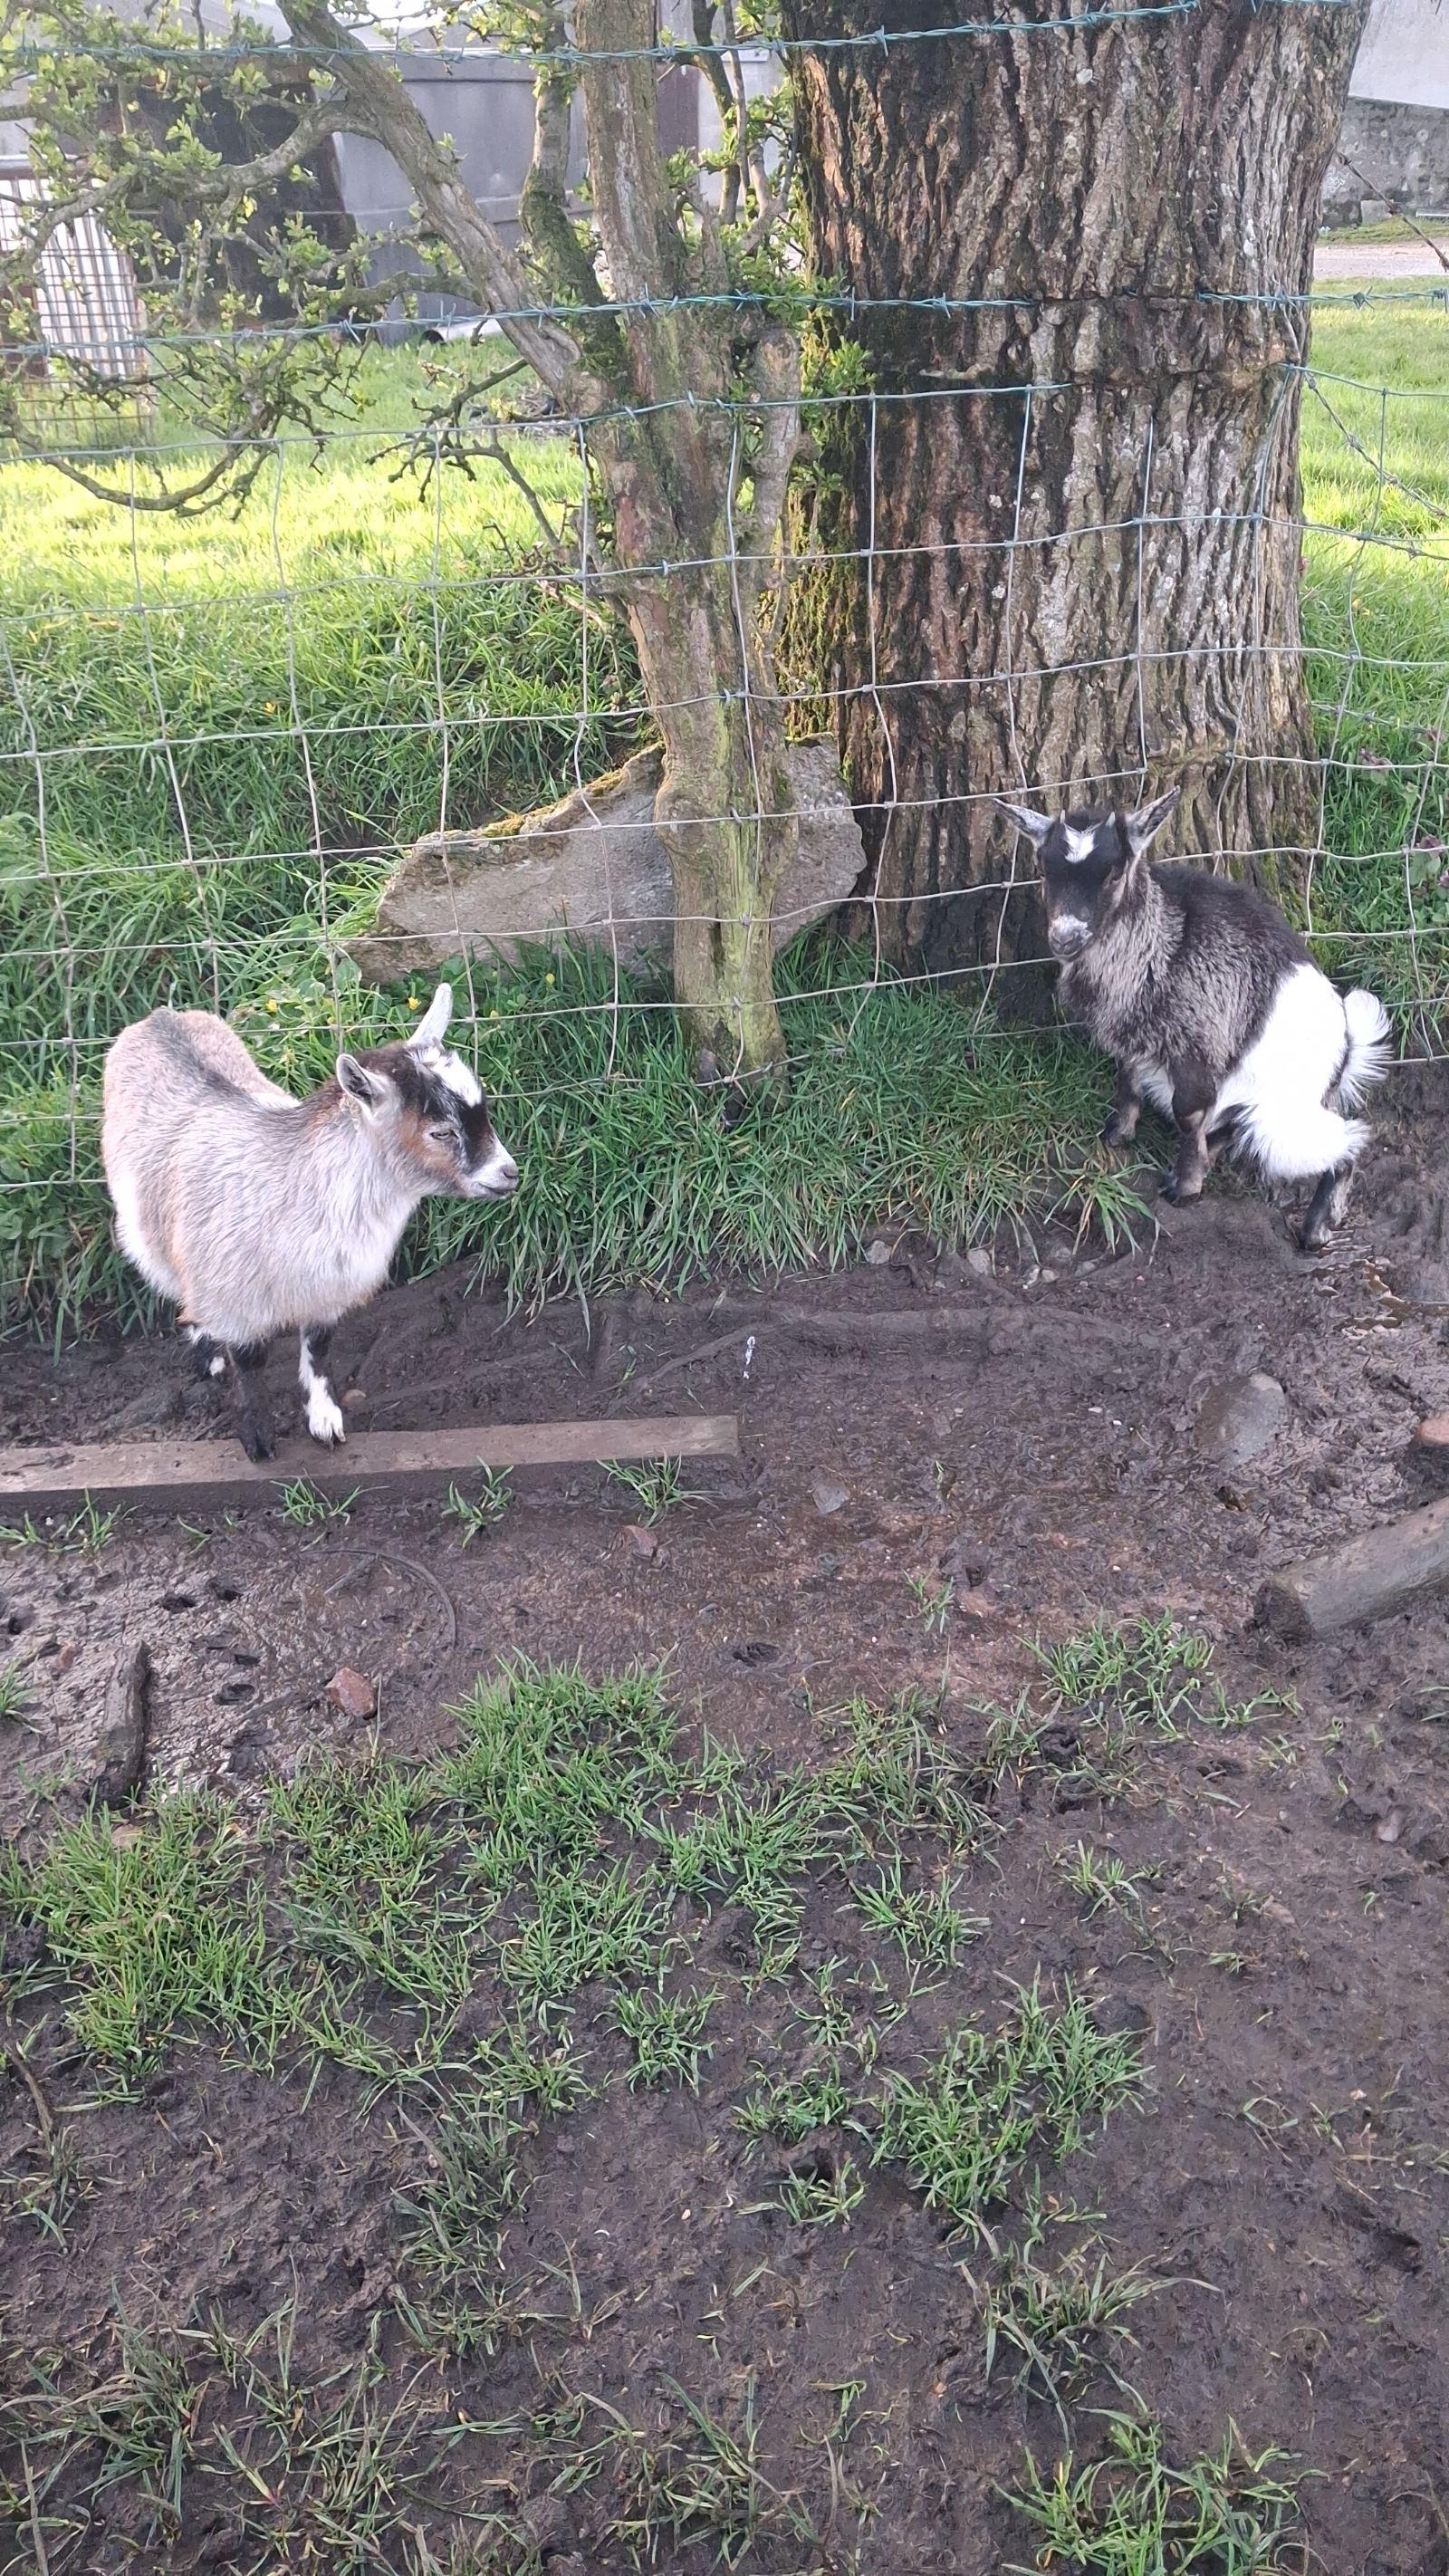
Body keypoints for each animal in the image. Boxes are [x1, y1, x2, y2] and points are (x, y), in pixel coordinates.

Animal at [101, 983, 518, 1460]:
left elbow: (319, 1350)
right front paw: (259, 1440)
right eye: (441, 1132)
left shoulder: (327, 1288)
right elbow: (250, 1362)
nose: (509, 1173)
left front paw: (325, 1422)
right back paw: (208, 1354)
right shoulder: (233, 1296)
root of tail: (158, 1016)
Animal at [997, 786, 1392, 1248]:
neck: (1160, 946)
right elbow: (1127, 1078)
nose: (1065, 937)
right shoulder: (1135, 1035)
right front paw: (1117, 1136)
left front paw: (1184, 1188)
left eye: (1114, 872)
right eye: (1044, 869)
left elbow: (1187, 1113)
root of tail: (1345, 1053)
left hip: (1282, 1117)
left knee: (1344, 1139)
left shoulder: (1198, 1043)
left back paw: (1316, 1229)